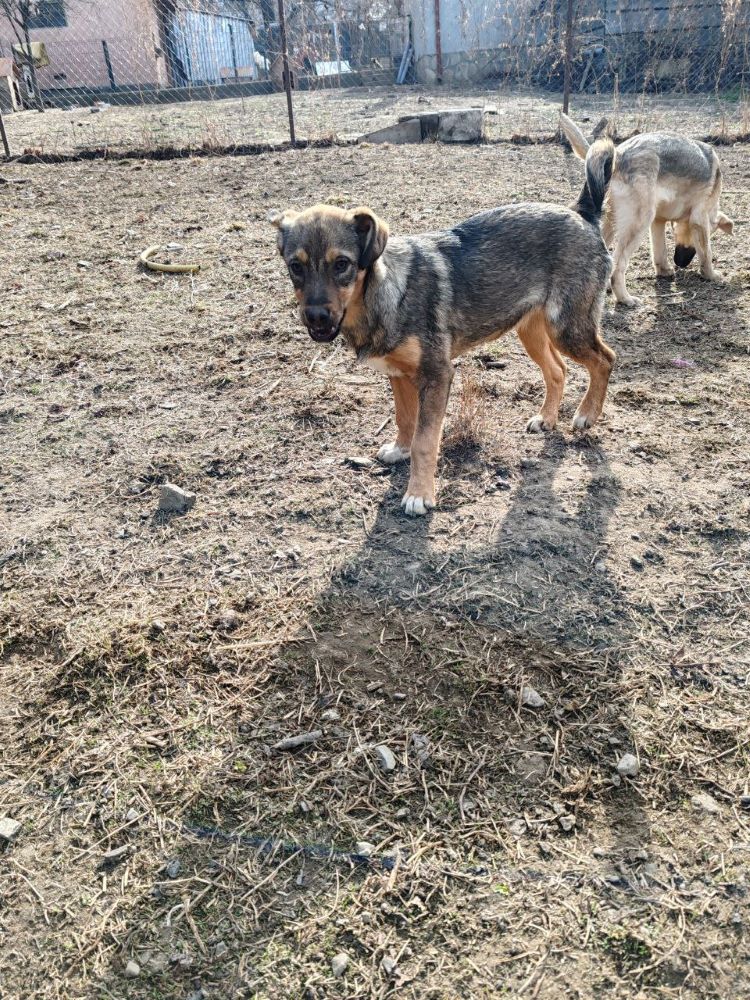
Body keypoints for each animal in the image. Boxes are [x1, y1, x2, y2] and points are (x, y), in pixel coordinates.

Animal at [274, 139, 620, 516]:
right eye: (295, 267)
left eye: (342, 264)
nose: (316, 317)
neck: (384, 294)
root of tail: (582, 212)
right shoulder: (398, 374)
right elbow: (405, 420)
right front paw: (400, 450)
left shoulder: (437, 374)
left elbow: (425, 440)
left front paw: (419, 494)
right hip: (531, 330)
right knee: (558, 370)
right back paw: (546, 418)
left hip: (567, 327)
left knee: (605, 359)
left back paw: (586, 415)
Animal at [564, 112, 736, 304]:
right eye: (712, 233)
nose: (681, 263)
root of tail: (618, 154)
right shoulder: (699, 219)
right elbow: (706, 253)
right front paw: (711, 275)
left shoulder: (658, 221)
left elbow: (659, 252)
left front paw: (664, 271)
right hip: (638, 223)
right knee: (618, 267)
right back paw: (624, 298)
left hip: (612, 223)